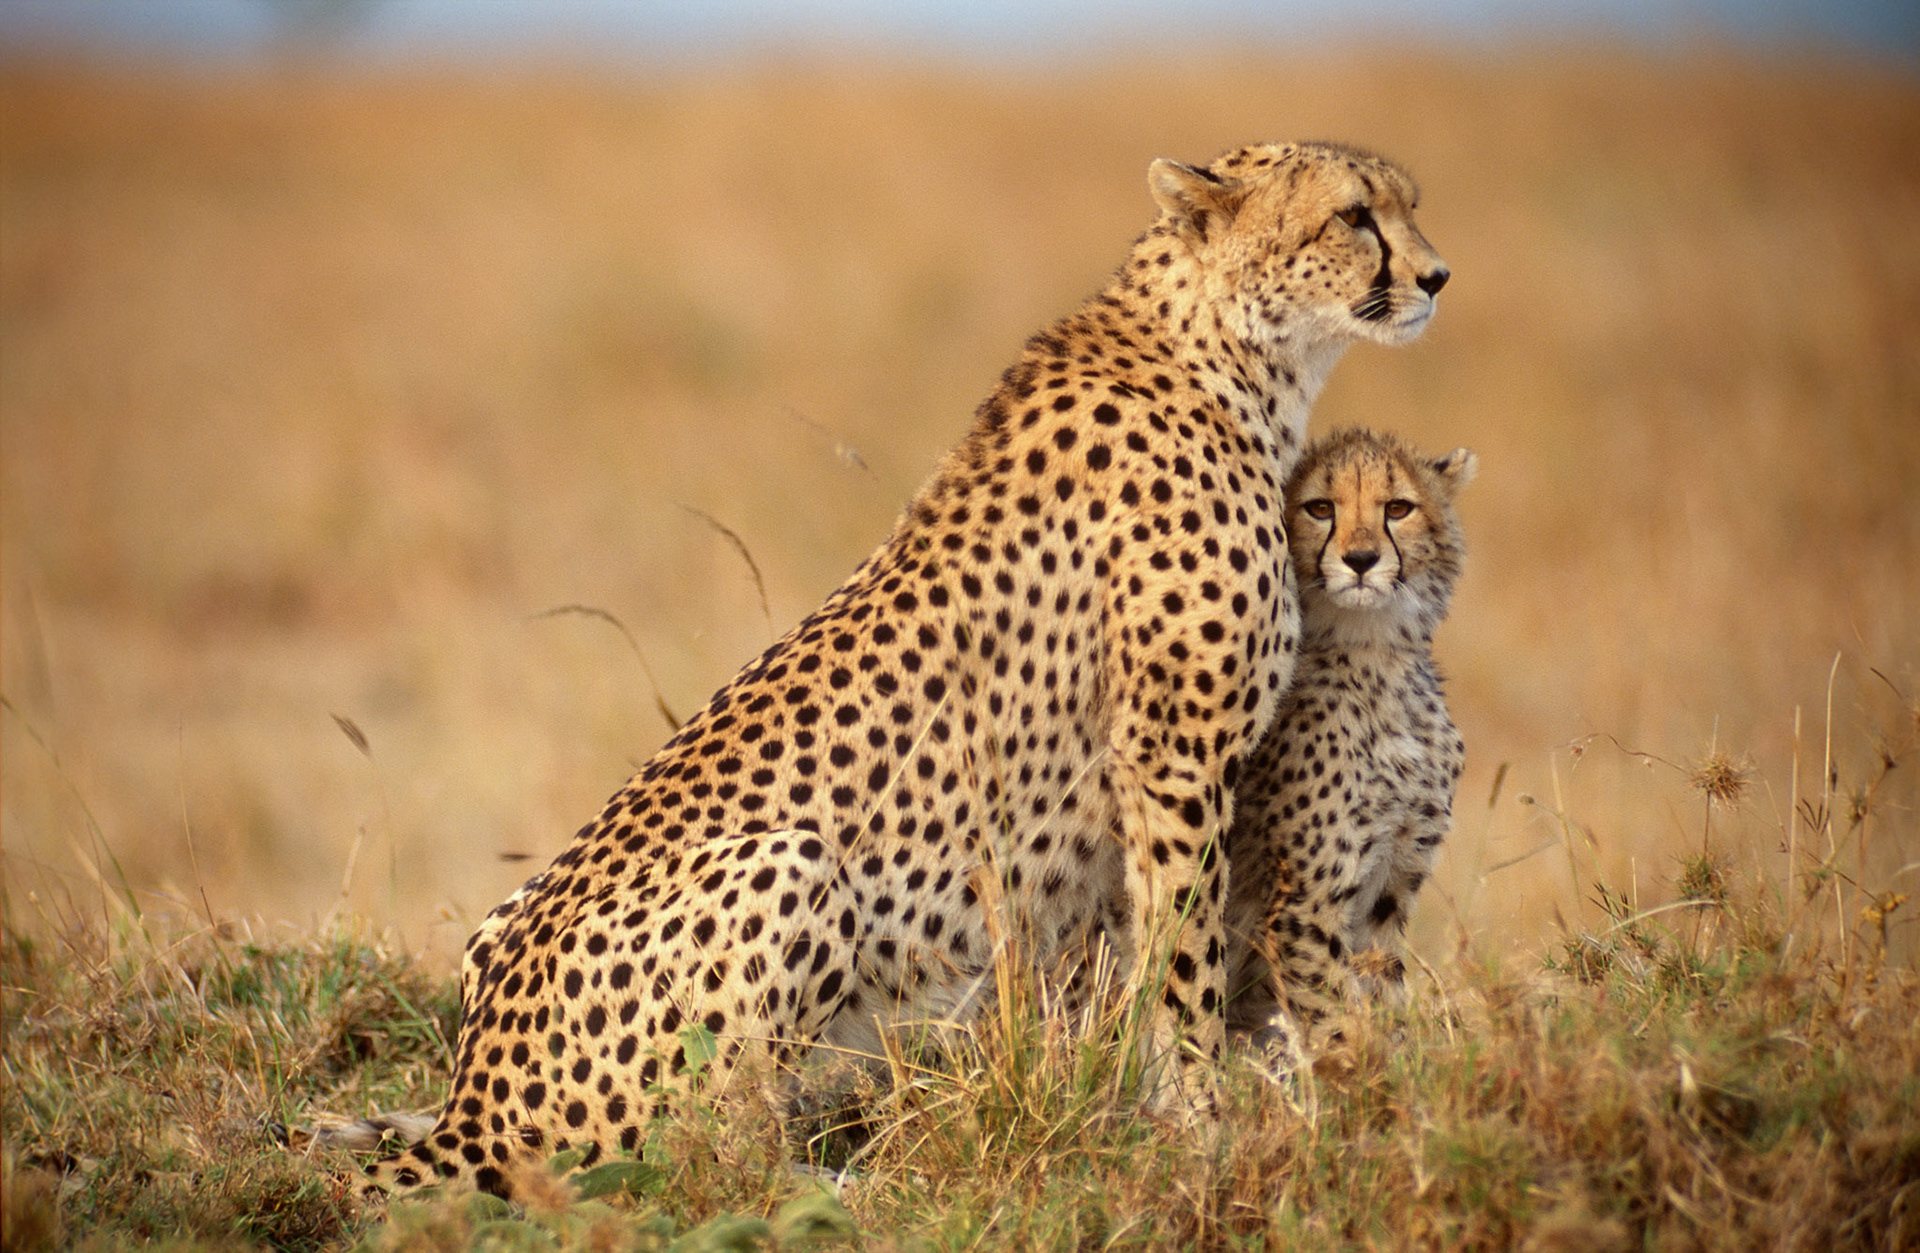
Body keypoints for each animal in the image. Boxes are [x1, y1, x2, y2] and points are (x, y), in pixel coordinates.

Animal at [364, 141, 1448, 1198]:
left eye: (1408, 203)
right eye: (1355, 215)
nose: (1436, 276)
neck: (1232, 355)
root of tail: (473, 1091)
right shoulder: (1172, 756)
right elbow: (1184, 957)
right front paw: (1205, 1124)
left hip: (499, 925)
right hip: (791, 861)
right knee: (688, 1158)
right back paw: (835, 1181)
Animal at [1223, 426, 1475, 1069]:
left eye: (1397, 508)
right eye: (1319, 508)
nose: (1361, 559)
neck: (1374, 657)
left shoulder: (1392, 887)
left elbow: (1384, 997)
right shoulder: (1303, 907)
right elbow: (1341, 1024)